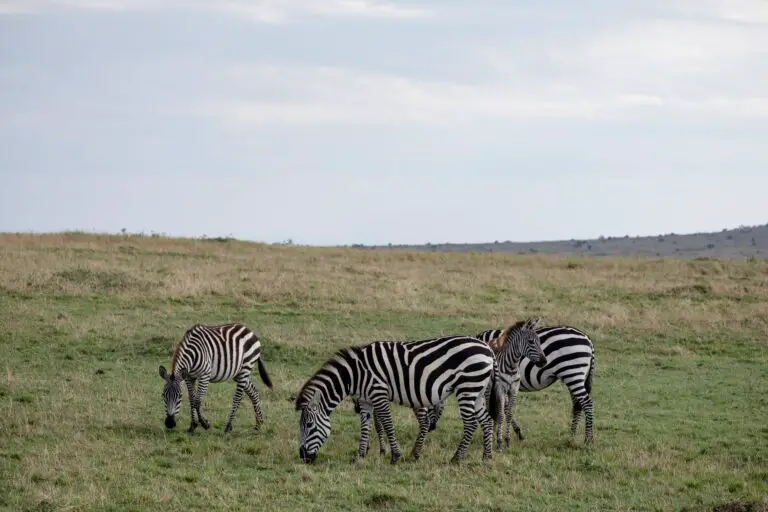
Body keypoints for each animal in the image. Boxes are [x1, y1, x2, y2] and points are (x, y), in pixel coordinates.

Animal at [294, 334, 498, 466]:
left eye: (309, 426)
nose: (302, 457)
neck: (356, 374)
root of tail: (488, 349)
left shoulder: (379, 394)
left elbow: (387, 424)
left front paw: (395, 456)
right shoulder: (366, 401)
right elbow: (365, 428)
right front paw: (359, 456)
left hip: (468, 387)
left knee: (471, 423)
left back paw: (457, 458)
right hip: (477, 391)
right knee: (487, 421)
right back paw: (487, 457)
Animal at [428, 326, 596, 446]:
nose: (431, 428)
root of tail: (587, 339)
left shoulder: (490, 385)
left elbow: (497, 409)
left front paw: (495, 434)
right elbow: (505, 409)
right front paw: (514, 433)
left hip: (572, 372)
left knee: (587, 403)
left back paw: (588, 440)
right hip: (574, 376)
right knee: (577, 405)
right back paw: (572, 437)